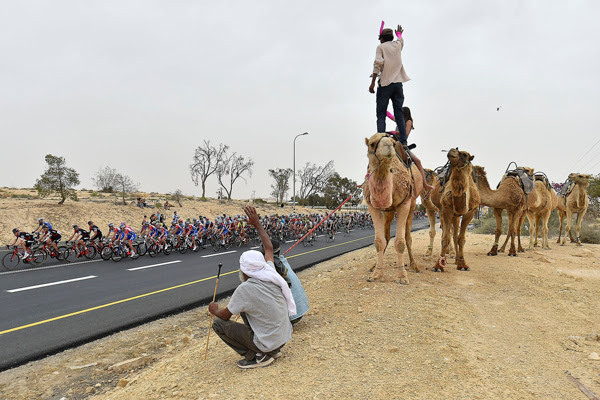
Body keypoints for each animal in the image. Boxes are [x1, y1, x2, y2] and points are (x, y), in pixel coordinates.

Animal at [364, 133, 424, 282]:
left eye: (392, 142)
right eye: (372, 144)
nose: (388, 145)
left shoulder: (404, 204)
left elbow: (401, 242)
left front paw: (402, 276)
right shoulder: (372, 206)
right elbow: (379, 241)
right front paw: (376, 273)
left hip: (412, 204)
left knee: (408, 236)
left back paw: (414, 265)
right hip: (389, 212)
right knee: (386, 236)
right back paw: (373, 266)